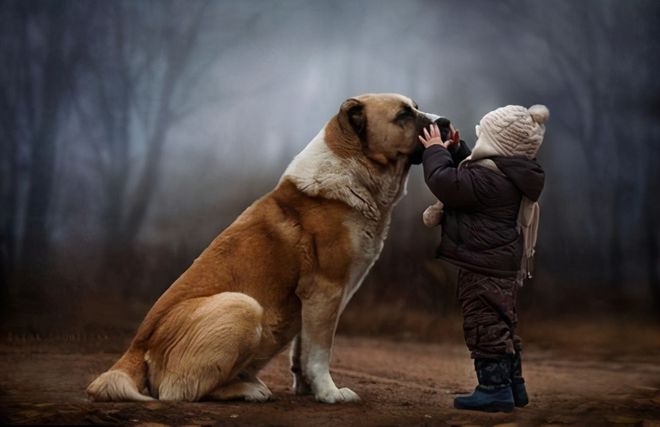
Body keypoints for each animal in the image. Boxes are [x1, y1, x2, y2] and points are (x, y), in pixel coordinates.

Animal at [86, 93, 438, 404]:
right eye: (403, 115)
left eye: (416, 107)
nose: (444, 123)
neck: (354, 171)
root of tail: (135, 347)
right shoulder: (326, 290)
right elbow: (319, 352)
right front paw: (330, 394)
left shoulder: (312, 301)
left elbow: (302, 351)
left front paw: (308, 389)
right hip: (242, 306)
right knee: (180, 392)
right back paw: (249, 390)